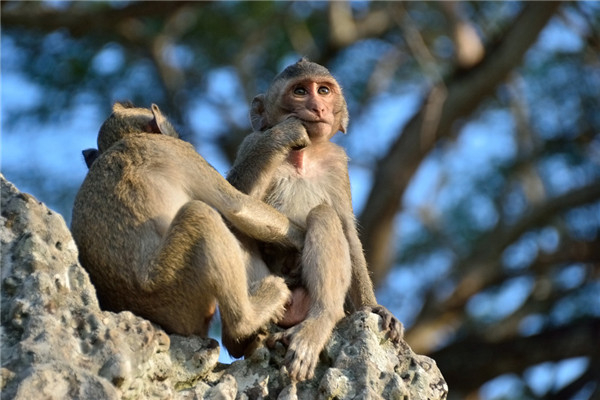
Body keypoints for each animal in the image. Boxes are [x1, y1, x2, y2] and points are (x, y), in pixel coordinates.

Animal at [227, 59, 406, 382]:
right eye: (300, 91)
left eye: (323, 90)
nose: (318, 106)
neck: (304, 155)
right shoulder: (252, 141)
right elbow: (230, 198)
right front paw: (284, 134)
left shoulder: (337, 162)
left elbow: (347, 229)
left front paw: (374, 307)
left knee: (324, 214)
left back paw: (322, 318)